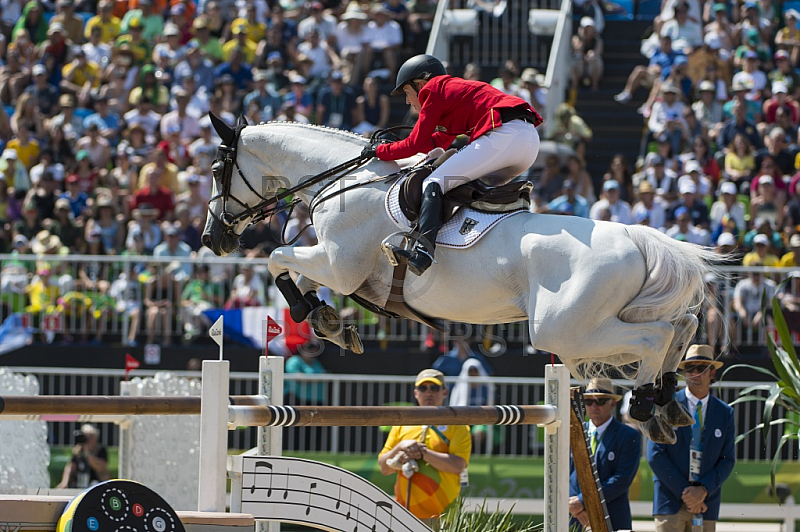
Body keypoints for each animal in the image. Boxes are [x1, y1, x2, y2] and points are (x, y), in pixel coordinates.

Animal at [203, 118, 716, 442]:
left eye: (215, 170)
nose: (212, 239)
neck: (346, 183)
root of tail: (636, 235)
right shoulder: (343, 271)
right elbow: (303, 279)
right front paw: (328, 321)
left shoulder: (337, 262)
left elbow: (276, 260)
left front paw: (311, 314)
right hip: (597, 324)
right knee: (683, 326)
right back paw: (670, 401)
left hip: (566, 332)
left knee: (656, 336)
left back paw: (647, 408)